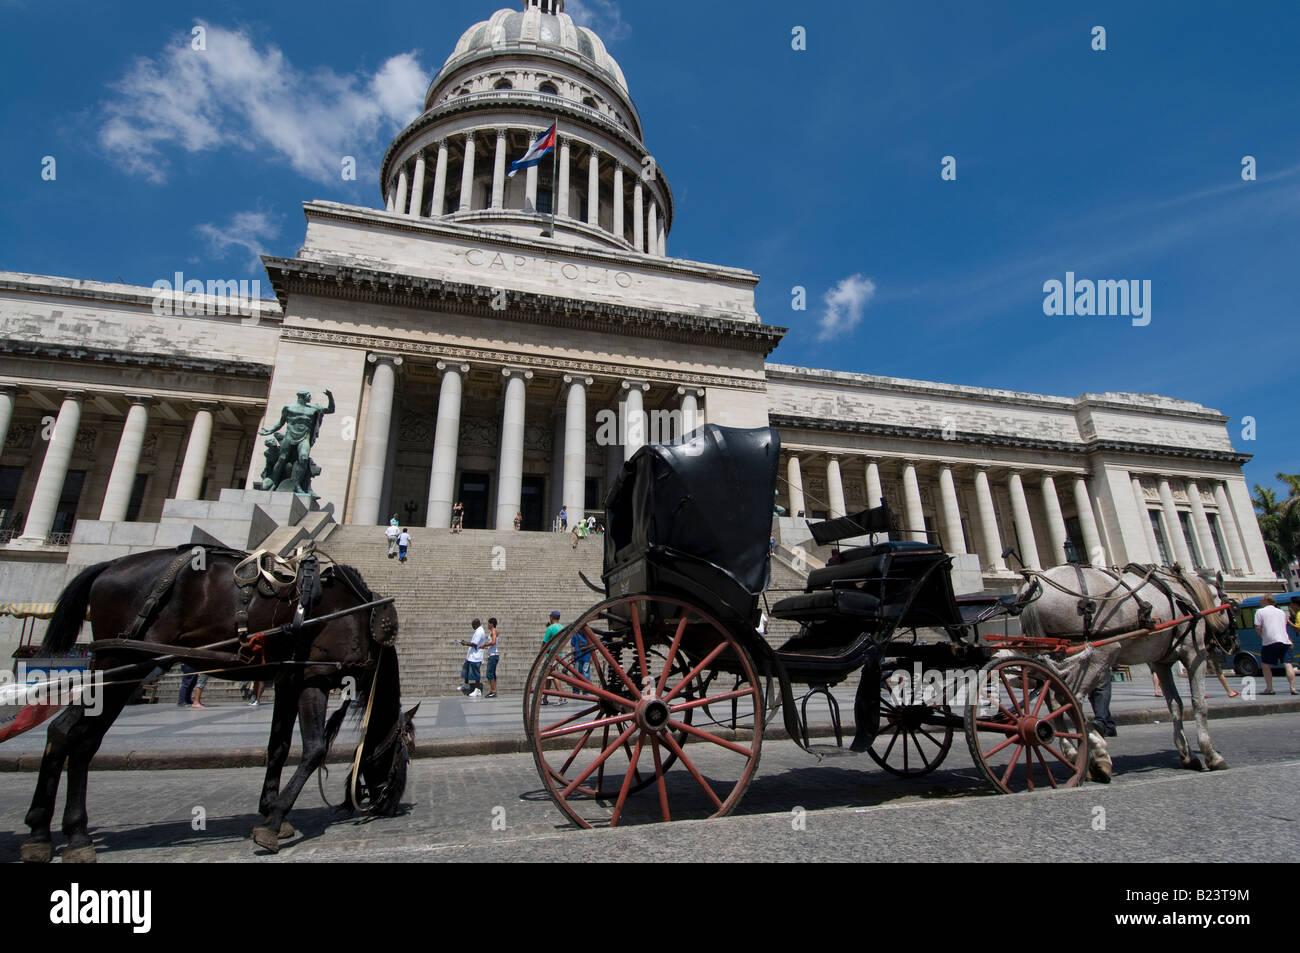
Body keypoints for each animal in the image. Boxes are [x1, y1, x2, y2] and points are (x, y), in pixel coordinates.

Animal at [20, 543, 416, 863]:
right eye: (401, 756)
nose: (389, 805)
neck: (360, 613)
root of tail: (110, 563)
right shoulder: (314, 677)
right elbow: (314, 748)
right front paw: (273, 823)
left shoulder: (287, 679)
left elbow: (278, 746)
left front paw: (271, 811)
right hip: (123, 663)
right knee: (83, 739)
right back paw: (76, 836)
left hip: (111, 669)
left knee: (63, 731)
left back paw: (40, 833)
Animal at [1013, 561, 1237, 774]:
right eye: (1233, 607)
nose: (1232, 644)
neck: (1182, 592)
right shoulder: (1194, 652)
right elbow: (1199, 703)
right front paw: (1212, 755)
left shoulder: (1161, 662)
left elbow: (1175, 704)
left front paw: (1188, 754)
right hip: (1099, 652)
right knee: (1070, 698)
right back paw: (1098, 754)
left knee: (1053, 698)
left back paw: (1073, 752)